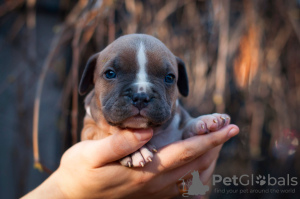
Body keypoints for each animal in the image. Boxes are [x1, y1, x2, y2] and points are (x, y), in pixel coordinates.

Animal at [78, 33, 230, 167]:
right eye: (110, 74)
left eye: (169, 77)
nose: (140, 97)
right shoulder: (88, 130)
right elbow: (104, 132)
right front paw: (134, 151)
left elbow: (186, 123)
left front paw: (206, 120)